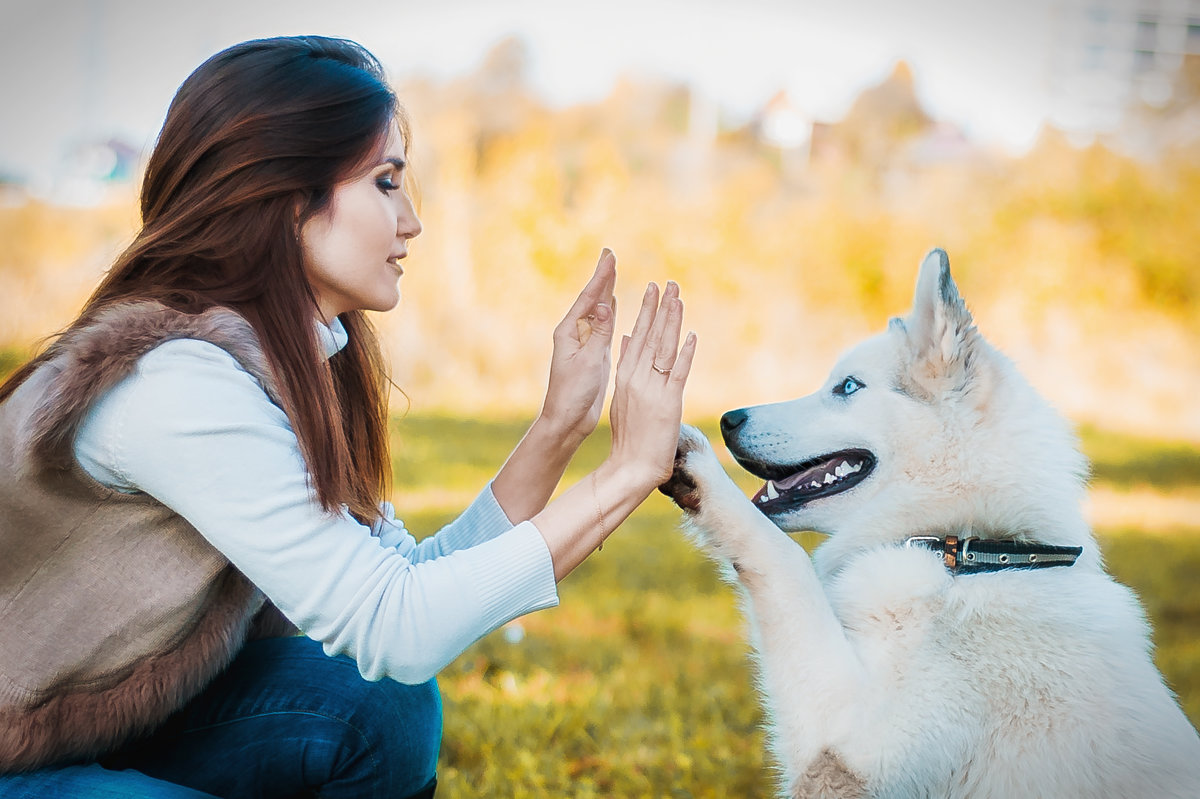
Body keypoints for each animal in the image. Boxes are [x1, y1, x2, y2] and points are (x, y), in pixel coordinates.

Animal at [662, 249, 1200, 796]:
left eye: (848, 387)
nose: (728, 419)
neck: (969, 552)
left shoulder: (848, 749)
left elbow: (781, 558)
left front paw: (698, 466)